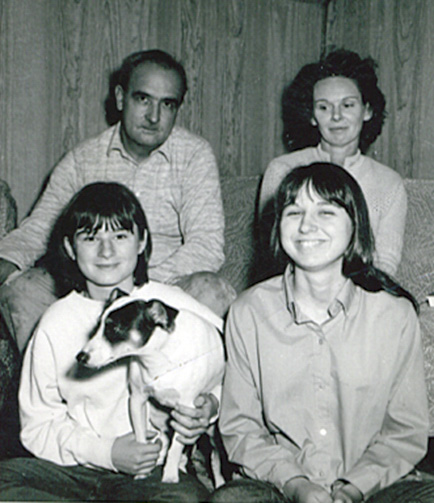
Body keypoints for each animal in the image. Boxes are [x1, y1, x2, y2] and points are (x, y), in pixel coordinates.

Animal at [75, 290, 224, 486]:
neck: (159, 360)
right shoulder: (137, 399)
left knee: (215, 459)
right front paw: (142, 473)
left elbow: (176, 448)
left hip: (214, 434)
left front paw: (169, 475)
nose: (80, 357)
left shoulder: (186, 412)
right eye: (97, 326)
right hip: (158, 417)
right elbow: (141, 437)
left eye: (115, 328)